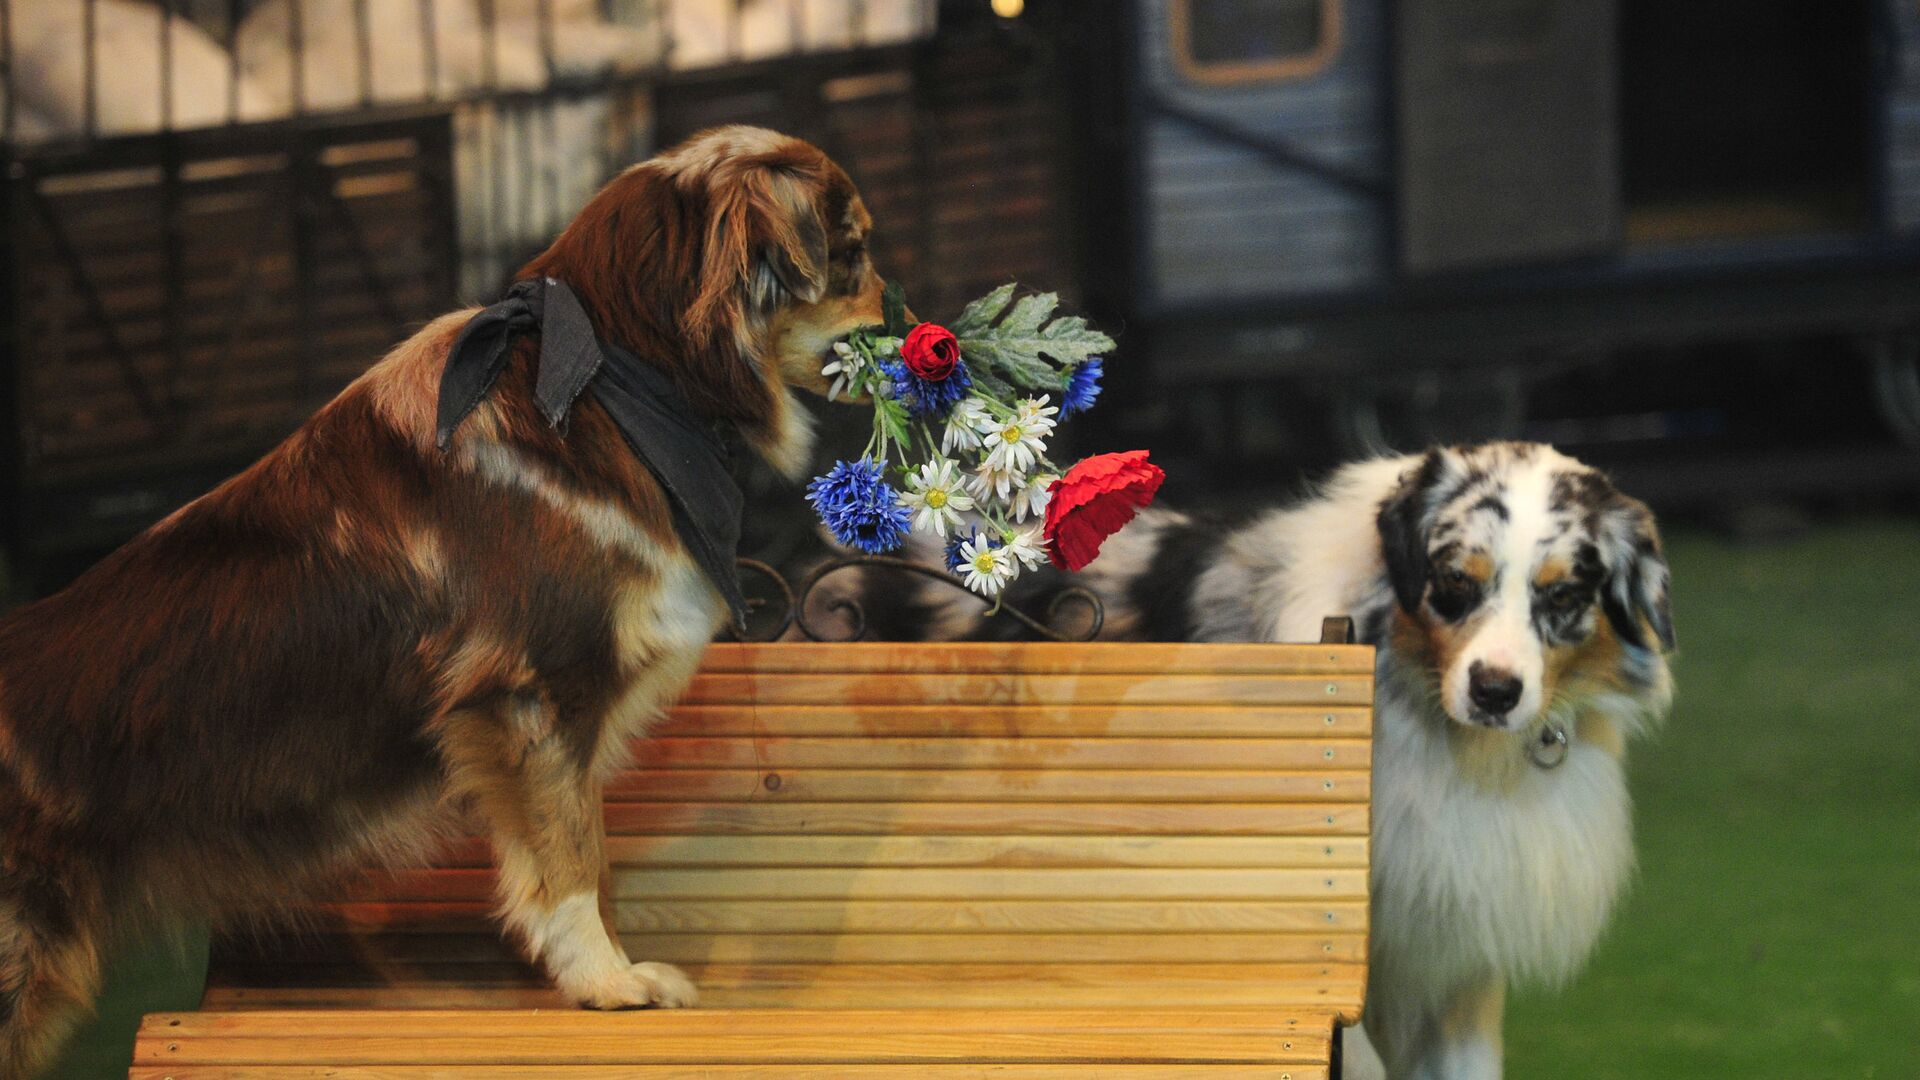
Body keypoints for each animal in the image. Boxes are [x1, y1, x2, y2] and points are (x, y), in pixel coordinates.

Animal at [0, 125, 883, 1068]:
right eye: (852, 253)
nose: (914, 331)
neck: (613, 379)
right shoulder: (533, 694)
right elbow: (572, 857)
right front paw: (608, 984)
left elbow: (586, 855)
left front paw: (597, 967)